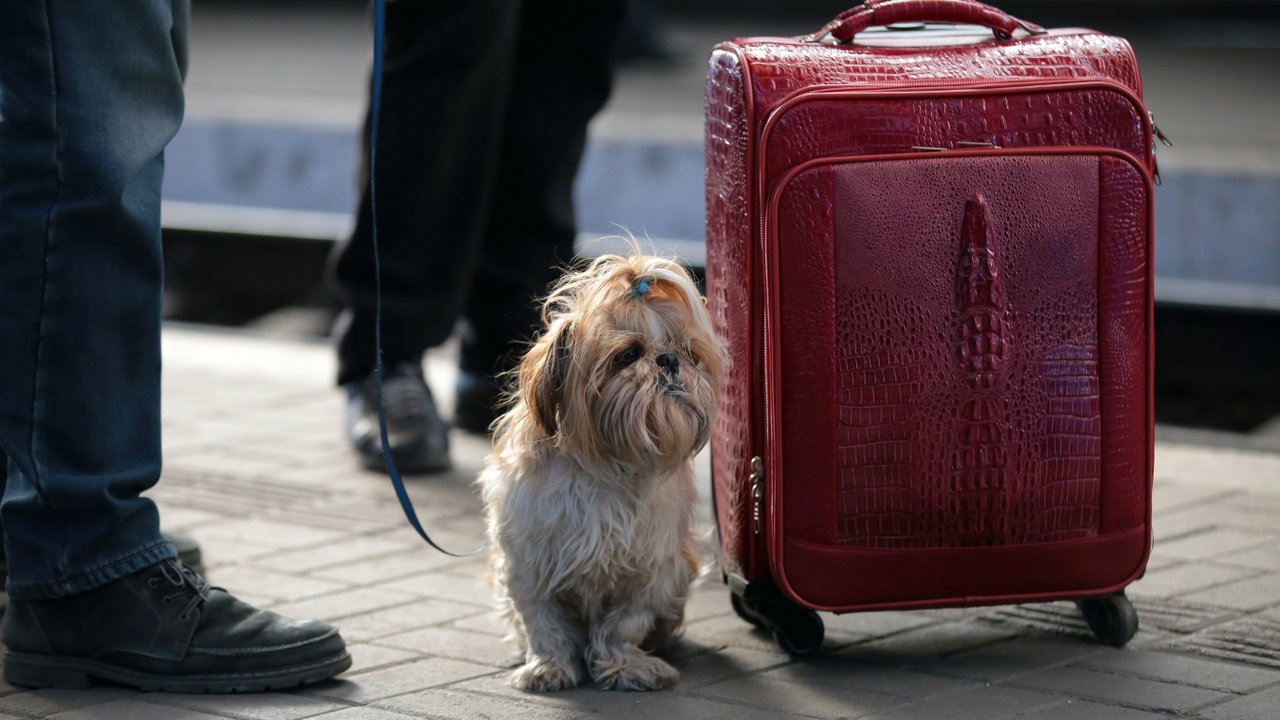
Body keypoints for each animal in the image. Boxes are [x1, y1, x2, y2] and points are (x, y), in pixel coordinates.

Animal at [481, 253, 727, 691]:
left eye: (688, 351)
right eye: (627, 355)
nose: (668, 360)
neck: (608, 465)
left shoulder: (650, 572)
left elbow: (622, 626)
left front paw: (623, 665)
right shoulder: (529, 562)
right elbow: (543, 622)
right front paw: (548, 666)